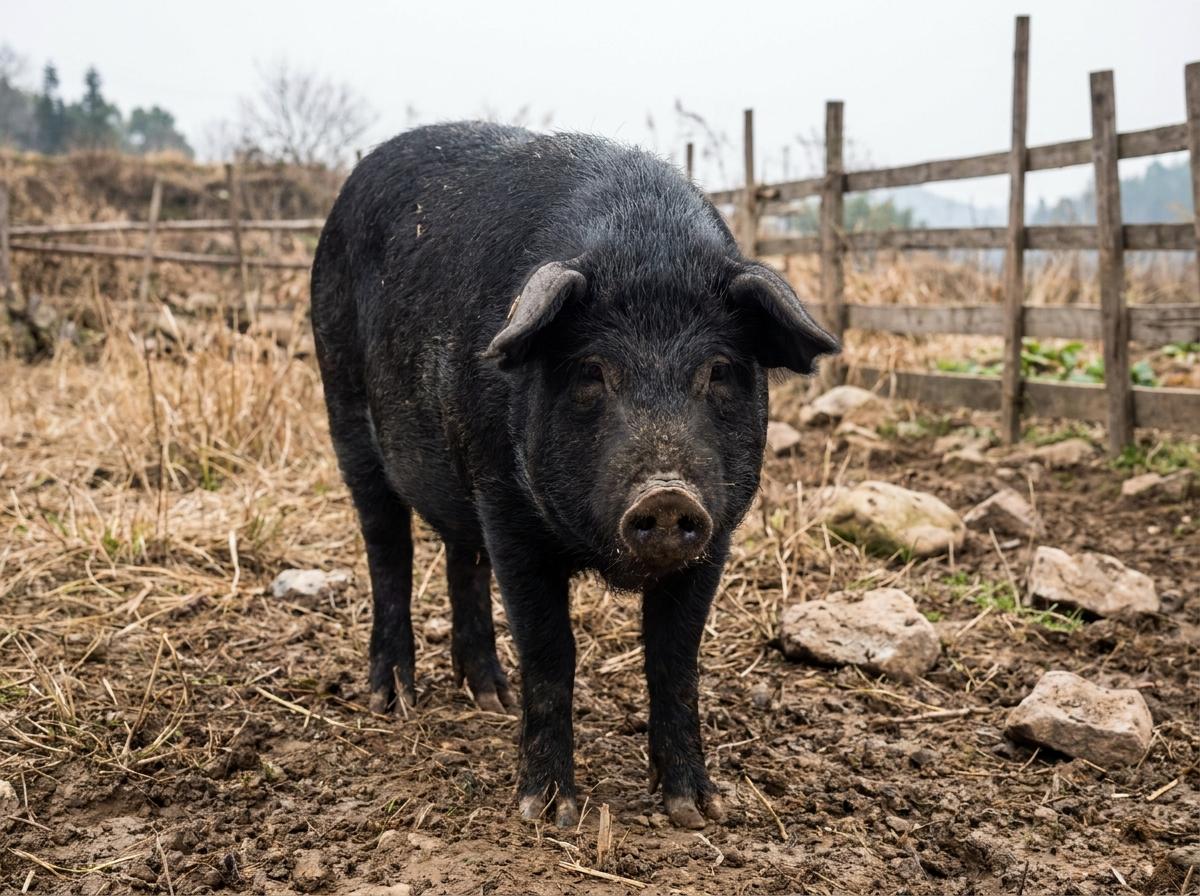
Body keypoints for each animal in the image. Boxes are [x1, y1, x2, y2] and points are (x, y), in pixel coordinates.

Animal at [310, 122, 838, 829]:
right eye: (592, 370)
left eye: (720, 370)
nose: (666, 492)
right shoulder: (508, 510)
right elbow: (549, 651)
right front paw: (546, 812)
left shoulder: (717, 531)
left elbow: (675, 658)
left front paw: (696, 810)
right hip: (342, 403)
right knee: (386, 546)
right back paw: (394, 701)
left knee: (461, 558)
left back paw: (489, 698)